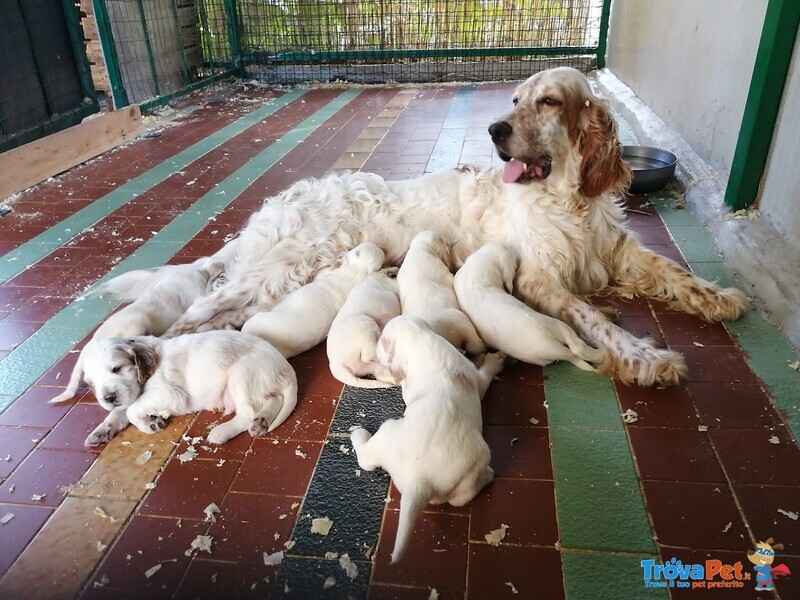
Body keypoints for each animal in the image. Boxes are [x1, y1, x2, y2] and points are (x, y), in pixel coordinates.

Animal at [77, 330, 296, 448]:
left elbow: (131, 410)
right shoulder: (130, 396)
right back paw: (261, 423)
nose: (109, 397)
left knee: (248, 412)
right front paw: (100, 432)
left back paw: (221, 432)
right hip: (257, 383)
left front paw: (148, 425)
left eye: (117, 368)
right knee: (273, 399)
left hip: (241, 375)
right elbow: (120, 411)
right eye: (91, 385)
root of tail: (285, 367)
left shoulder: (168, 394)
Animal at [348, 316, 504, 564]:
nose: (376, 346)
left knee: (366, 459)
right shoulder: (474, 378)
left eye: (382, 340)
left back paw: (358, 434)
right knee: (460, 498)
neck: (422, 341)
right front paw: (494, 360)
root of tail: (419, 480)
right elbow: (484, 376)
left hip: (389, 432)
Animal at [454, 241, 604, 368]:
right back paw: (601, 353)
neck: (474, 274)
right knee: (577, 347)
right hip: (559, 326)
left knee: (575, 355)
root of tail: (555, 349)